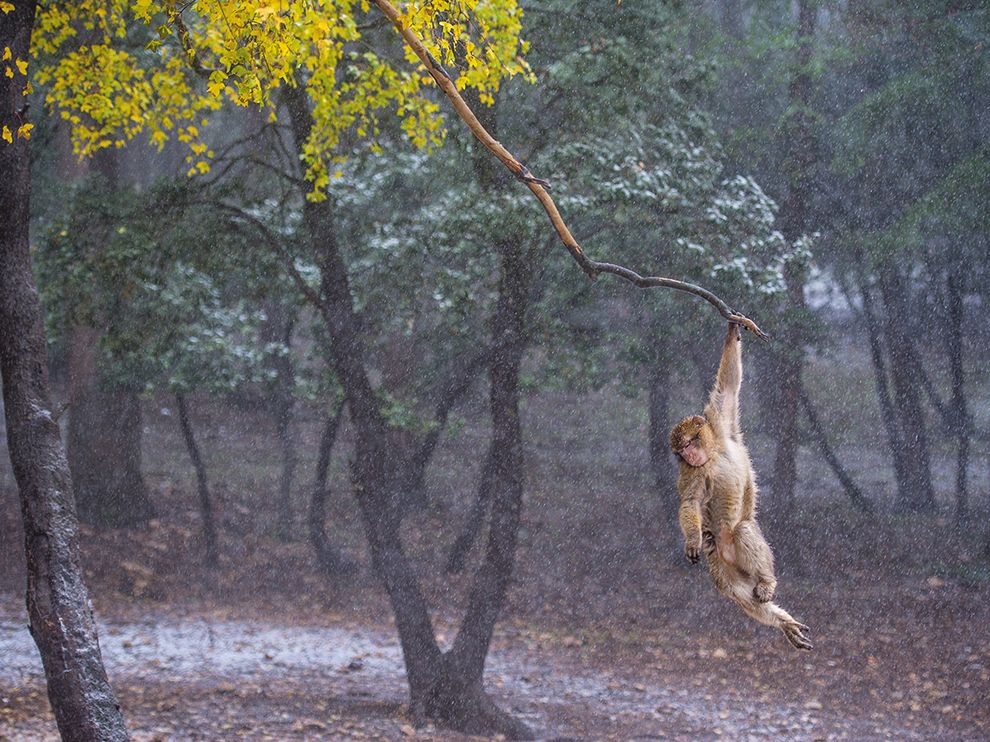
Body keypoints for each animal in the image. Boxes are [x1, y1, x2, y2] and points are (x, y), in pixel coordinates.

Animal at [676, 320, 812, 652]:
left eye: (688, 443)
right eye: (681, 451)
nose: (688, 454)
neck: (711, 453)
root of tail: (726, 554)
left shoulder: (720, 421)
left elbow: (727, 387)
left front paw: (733, 330)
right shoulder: (692, 471)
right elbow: (690, 501)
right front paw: (692, 538)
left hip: (735, 556)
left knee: (744, 529)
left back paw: (767, 584)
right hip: (720, 561)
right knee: (736, 588)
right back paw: (780, 620)